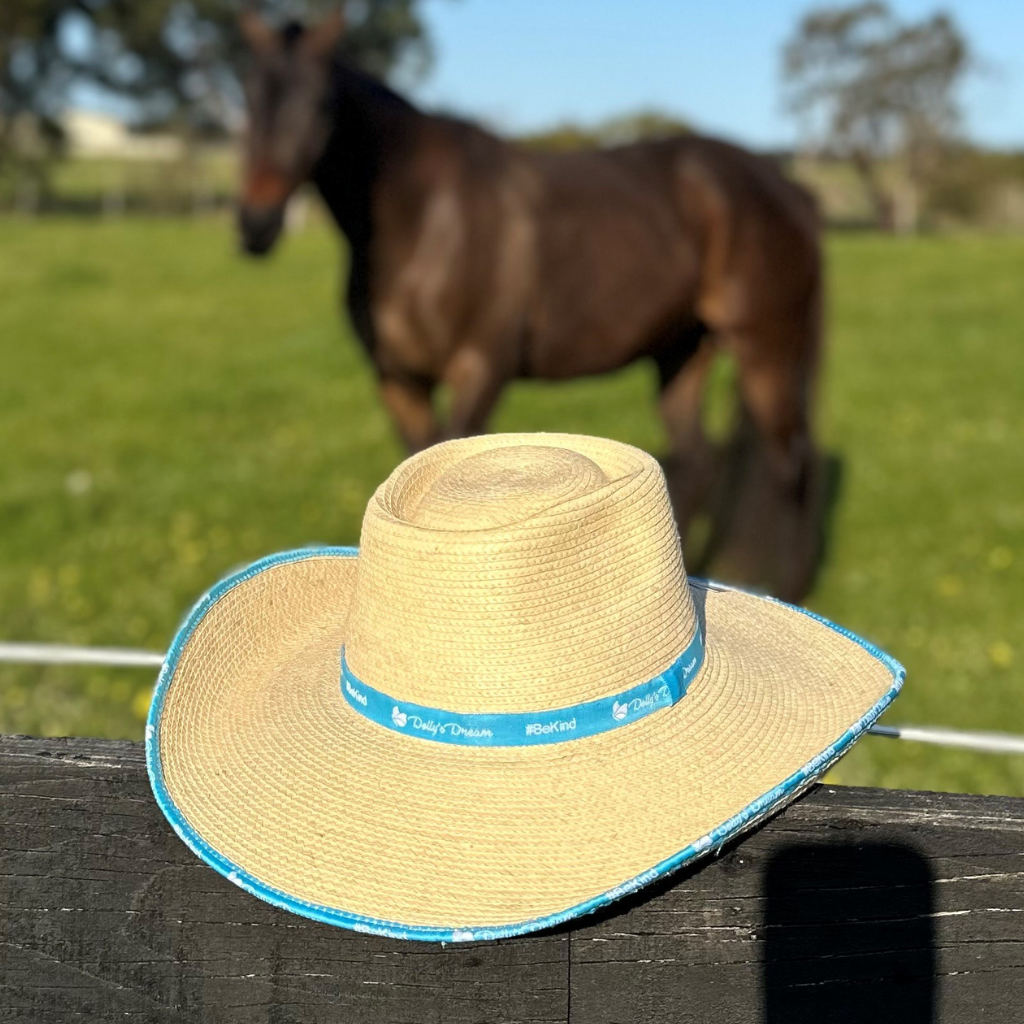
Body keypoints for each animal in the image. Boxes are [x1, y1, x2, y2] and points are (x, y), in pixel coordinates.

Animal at [237, 9, 823, 593]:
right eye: (249, 95)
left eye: (320, 104)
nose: (256, 225)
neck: (427, 219)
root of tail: (783, 185)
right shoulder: (398, 380)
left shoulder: (479, 369)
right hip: (681, 352)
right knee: (699, 462)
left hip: (765, 349)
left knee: (790, 464)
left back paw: (790, 591)